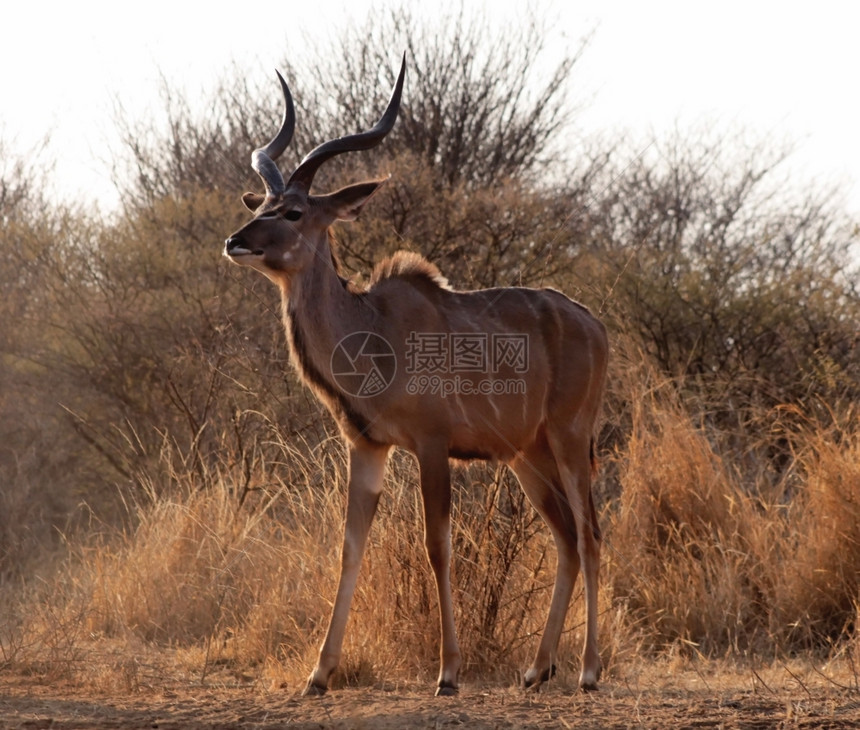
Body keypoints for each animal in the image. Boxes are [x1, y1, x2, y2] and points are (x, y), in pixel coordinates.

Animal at [225, 54, 608, 692]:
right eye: (258, 207)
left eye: (294, 211)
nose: (235, 241)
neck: (373, 329)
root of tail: (594, 324)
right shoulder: (367, 447)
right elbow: (350, 549)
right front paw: (318, 675)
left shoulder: (431, 444)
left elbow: (437, 546)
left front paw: (449, 672)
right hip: (527, 456)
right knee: (566, 539)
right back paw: (536, 670)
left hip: (570, 438)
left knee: (590, 533)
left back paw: (589, 671)